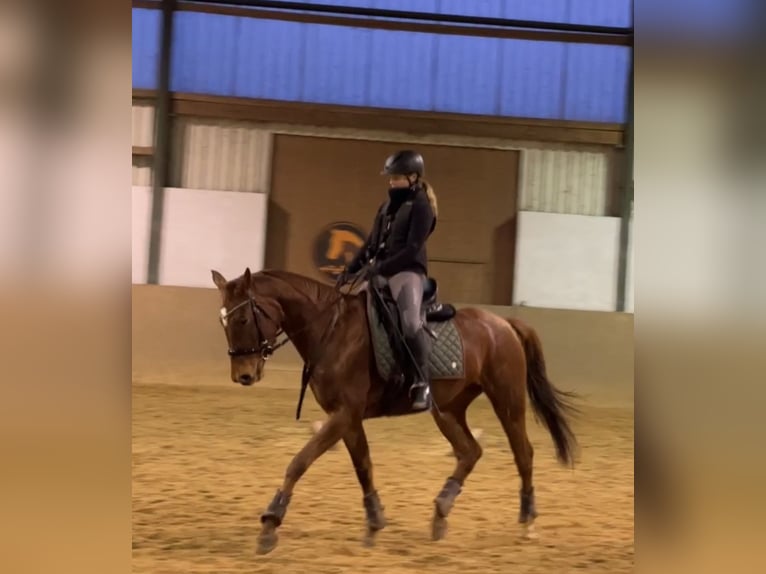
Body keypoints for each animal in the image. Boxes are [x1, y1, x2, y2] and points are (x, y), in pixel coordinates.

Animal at [211, 267, 579, 555]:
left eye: (243, 317)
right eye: (224, 322)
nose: (243, 375)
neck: (332, 330)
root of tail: (503, 323)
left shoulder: (344, 413)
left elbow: (299, 462)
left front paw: (270, 524)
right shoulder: (348, 417)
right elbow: (363, 466)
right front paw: (374, 523)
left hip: (507, 398)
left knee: (523, 453)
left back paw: (527, 521)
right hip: (448, 409)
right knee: (469, 451)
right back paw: (441, 513)